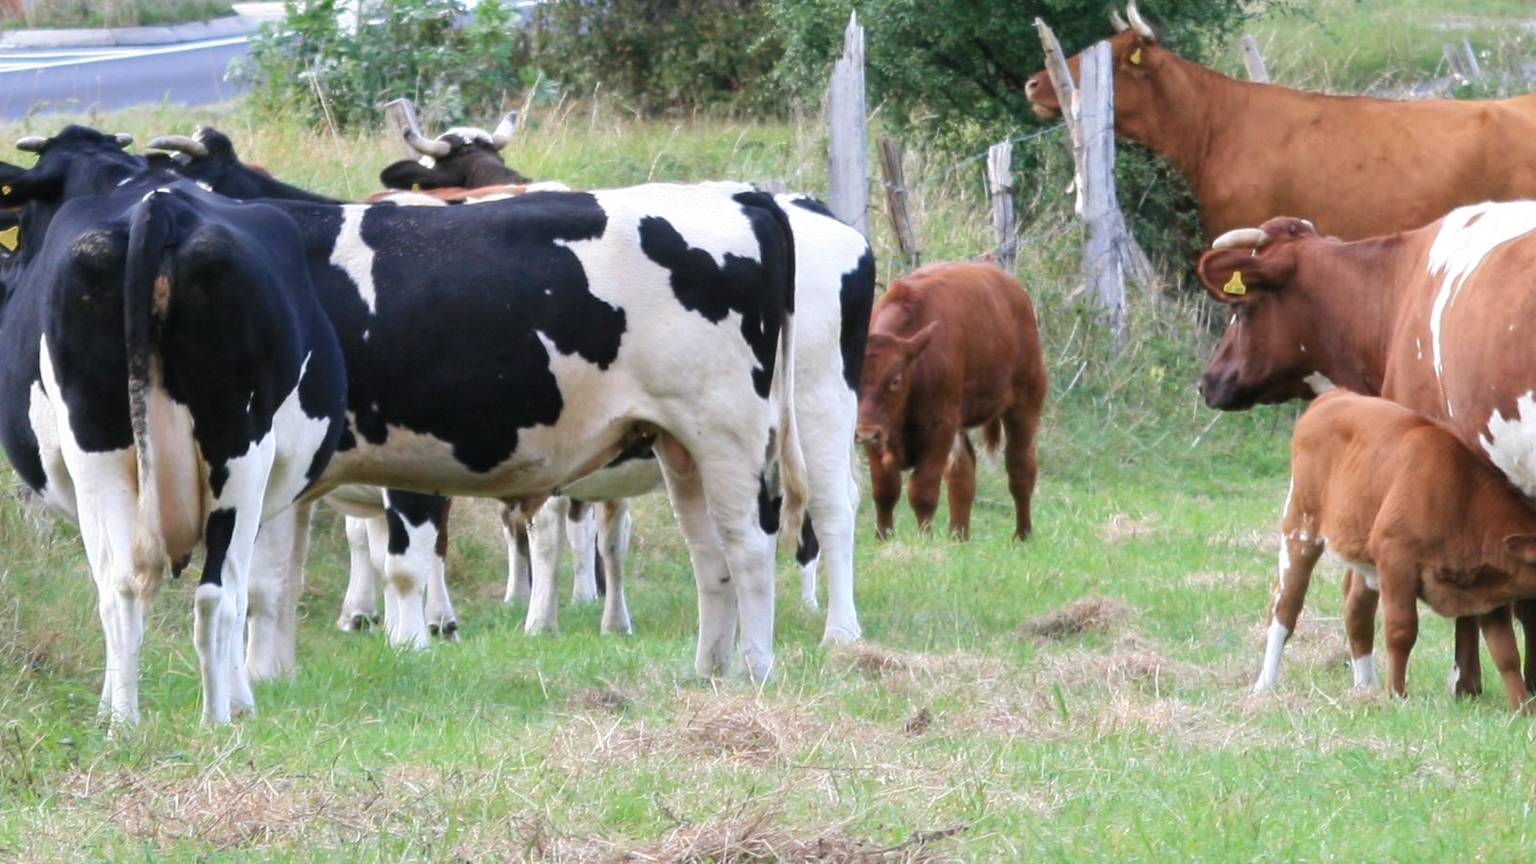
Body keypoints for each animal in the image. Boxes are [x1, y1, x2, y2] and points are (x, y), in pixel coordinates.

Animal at [0, 127, 348, 724]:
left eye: (21, 226)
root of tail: (156, 209)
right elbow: (249, 585)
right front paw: (243, 699)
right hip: (239, 447)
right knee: (215, 592)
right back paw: (217, 718)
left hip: (97, 446)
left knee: (122, 584)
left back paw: (123, 721)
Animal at [152, 128, 874, 646]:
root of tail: (765, 199)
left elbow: (416, 554)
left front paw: (426, 632)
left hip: (811, 405)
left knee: (830, 508)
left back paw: (838, 630)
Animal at [856, 261, 1046, 541]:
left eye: (895, 380)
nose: (865, 433)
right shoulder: (879, 432)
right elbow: (885, 490)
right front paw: (883, 538)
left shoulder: (940, 427)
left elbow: (922, 490)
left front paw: (925, 540)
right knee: (963, 473)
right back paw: (959, 537)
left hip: (1025, 405)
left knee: (1020, 469)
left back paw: (1022, 536)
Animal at [1260, 391, 1536, 712]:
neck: (1463, 499)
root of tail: (1332, 396)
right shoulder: (1396, 559)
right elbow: (1401, 631)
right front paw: (1396, 694)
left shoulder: (1488, 589)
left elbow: (1505, 651)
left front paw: (1523, 709)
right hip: (1301, 526)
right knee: (1284, 605)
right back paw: (1264, 685)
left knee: (1357, 610)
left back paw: (1365, 687)